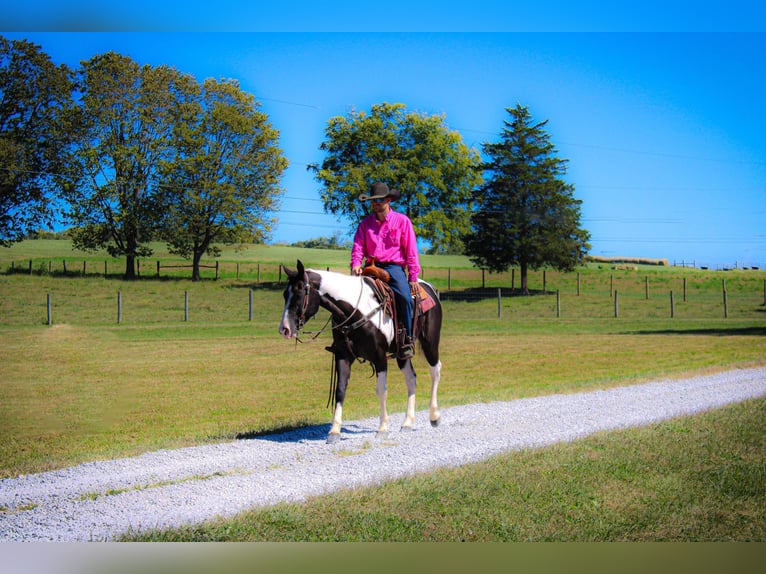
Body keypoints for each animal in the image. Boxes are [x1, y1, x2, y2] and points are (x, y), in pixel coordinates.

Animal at [280, 260, 444, 446]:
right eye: (285, 294)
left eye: (299, 293)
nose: (284, 329)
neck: (356, 311)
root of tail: (429, 287)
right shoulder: (343, 356)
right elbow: (340, 390)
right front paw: (334, 431)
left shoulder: (379, 357)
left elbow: (381, 390)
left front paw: (383, 428)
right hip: (402, 353)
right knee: (411, 378)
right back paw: (408, 422)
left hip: (430, 342)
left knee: (435, 371)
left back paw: (434, 416)